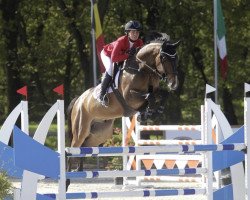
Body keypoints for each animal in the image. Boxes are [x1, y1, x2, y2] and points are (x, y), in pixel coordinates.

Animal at [66, 35, 180, 189]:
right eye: (163, 57)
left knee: (84, 147)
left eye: (176, 58)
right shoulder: (129, 97)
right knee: (72, 149)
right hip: (81, 128)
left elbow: (162, 94)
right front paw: (146, 113)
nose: (174, 84)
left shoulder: (153, 91)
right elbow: (149, 97)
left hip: (100, 133)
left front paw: (154, 111)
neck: (143, 70)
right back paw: (67, 180)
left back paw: (79, 169)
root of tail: (79, 99)